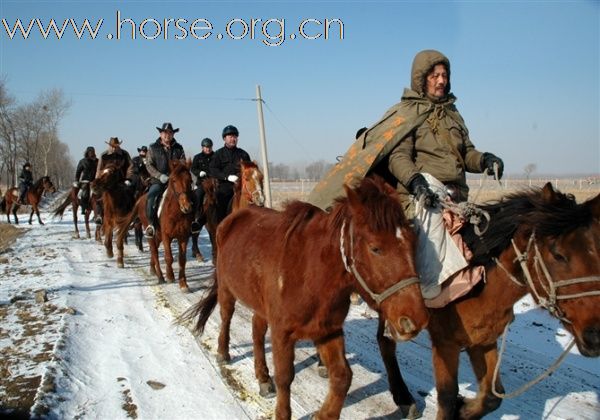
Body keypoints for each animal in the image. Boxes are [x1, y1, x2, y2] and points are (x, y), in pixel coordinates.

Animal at [120, 160, 197, 292]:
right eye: (173, 180)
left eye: (190, 180)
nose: (186, 207)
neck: (176, 213)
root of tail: (141, 199)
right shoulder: (167, 236)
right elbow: (168, 257)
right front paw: (170, 276)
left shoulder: (183, 237)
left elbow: (182, 260)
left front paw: (183, 284)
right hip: (151, 232)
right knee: (154, 251)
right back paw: (160, 276)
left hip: (158, 235)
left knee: (154, 249)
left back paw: (153, 270)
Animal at [183, 176, 432, 420]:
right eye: (375, 248)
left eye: (413, 242)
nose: (415, 319)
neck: (310, 274)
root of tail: (230, 220)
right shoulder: (283, 333)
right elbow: (285, 377)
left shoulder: (328, 330)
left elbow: (342, 376)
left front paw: (323, 414)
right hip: (227, 289)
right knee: (226, 318)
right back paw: (223, 353)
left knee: (256, 331)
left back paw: (263, 377)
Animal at [380, 184, 600, 420]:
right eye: (557, 254)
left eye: (598, 253)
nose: (595, 336)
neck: (478, 284)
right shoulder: (445, 342)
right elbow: (447, 397)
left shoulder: (484, 340)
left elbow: (492, 397)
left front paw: (464, 409)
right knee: (386, 343)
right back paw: (404, 398)